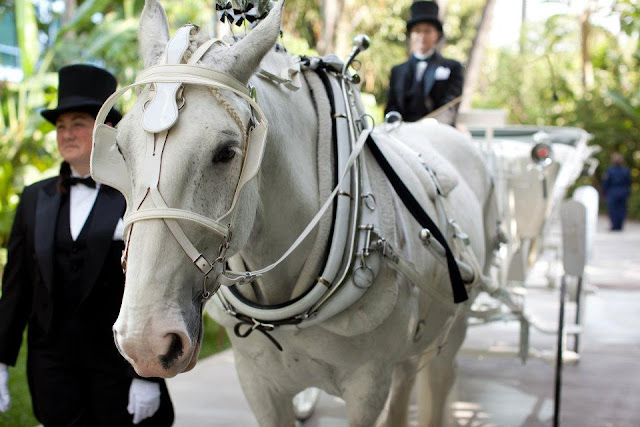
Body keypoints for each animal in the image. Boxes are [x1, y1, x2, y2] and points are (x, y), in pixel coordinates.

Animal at [99, 1, 500, 426]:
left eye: (226, 152)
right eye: (120, 149)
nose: (145, 340)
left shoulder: (368, 385)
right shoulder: (258, 383)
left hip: (453, 329)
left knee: (439, 380)